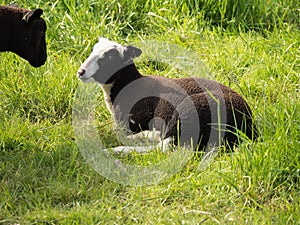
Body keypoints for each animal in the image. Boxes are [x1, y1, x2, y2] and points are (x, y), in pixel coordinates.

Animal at [77, 37, 258, 153]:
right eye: (92, 50)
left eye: (109, 56)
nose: (81, 72)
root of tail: (248, 126)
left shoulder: (131, 122)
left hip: (190, 112)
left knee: (163, 147)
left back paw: (118, 149)